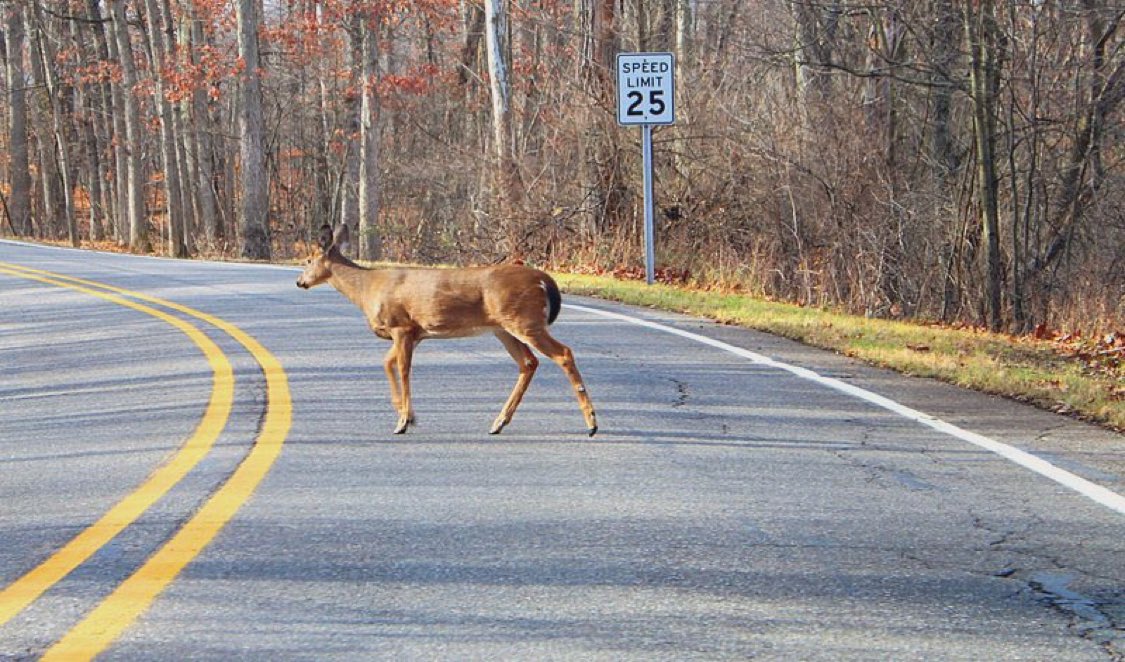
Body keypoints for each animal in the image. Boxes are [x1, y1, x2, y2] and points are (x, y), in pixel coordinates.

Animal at [296, 224, 598, 437]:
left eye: (309, 260)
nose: (300, 282)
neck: (366, 289)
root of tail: (544, 279)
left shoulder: (401, 326)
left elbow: (403, 370)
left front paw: (403, 421)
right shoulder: (414, 333)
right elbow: (387, 363)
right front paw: (408, 415)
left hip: (525, 320)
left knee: (563, 353)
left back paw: (591, 423)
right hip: (504, 328)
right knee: (529, 362)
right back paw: (499, 422)